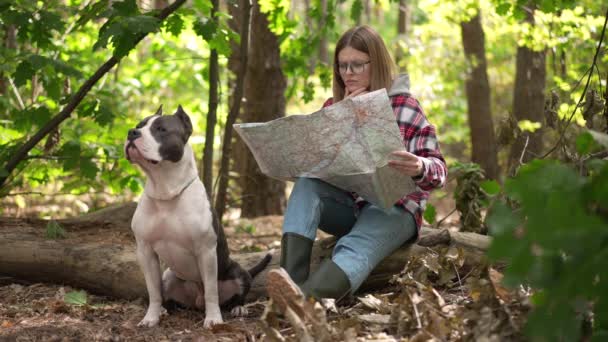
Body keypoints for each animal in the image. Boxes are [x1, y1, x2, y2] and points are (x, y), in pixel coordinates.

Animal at [126, 105, 270, 328]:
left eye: (161, 129)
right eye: (139, 125)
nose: (132, 133)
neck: (165, 192)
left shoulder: (206, 251)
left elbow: (211, 290)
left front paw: (213, 319)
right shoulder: (145, 250)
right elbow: (153, 290)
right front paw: (151, 317)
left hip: (237, 272)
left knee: (235, 295)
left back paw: (239, 308)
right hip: (169, 276)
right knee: (167, 295)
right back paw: (165, 310)